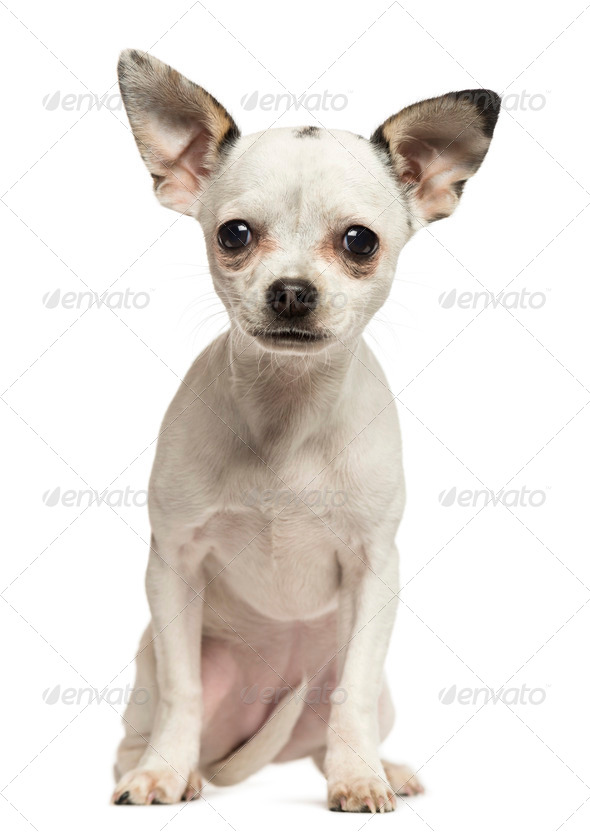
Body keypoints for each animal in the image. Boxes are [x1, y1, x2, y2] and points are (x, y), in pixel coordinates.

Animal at [112, 48, 500, 808]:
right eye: (234, 234)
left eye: (359, 242)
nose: (291, 290)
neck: (287, 414)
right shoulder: (173, 566)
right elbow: (182, 690)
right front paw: (165, 772)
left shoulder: (374, 567)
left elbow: (351, 695)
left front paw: (359, 779)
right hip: (146, 667)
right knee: (149, 724)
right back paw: (170, 767)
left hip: (357, 687)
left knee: (336, 722)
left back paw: (377, 766)